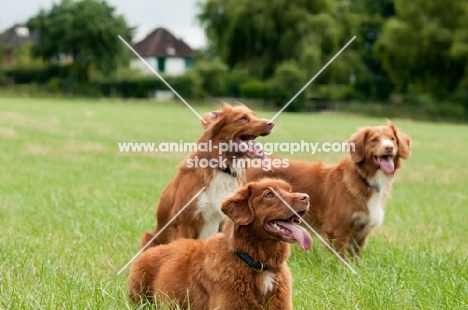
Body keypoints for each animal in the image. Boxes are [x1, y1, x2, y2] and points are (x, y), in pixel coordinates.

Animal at [247, 122, 412, 258]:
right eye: (374, 140)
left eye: (392, 139)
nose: (389, 147)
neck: (365, 179)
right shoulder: (338, 229)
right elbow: (341, 259)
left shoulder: (361, 232)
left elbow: (355, 258)